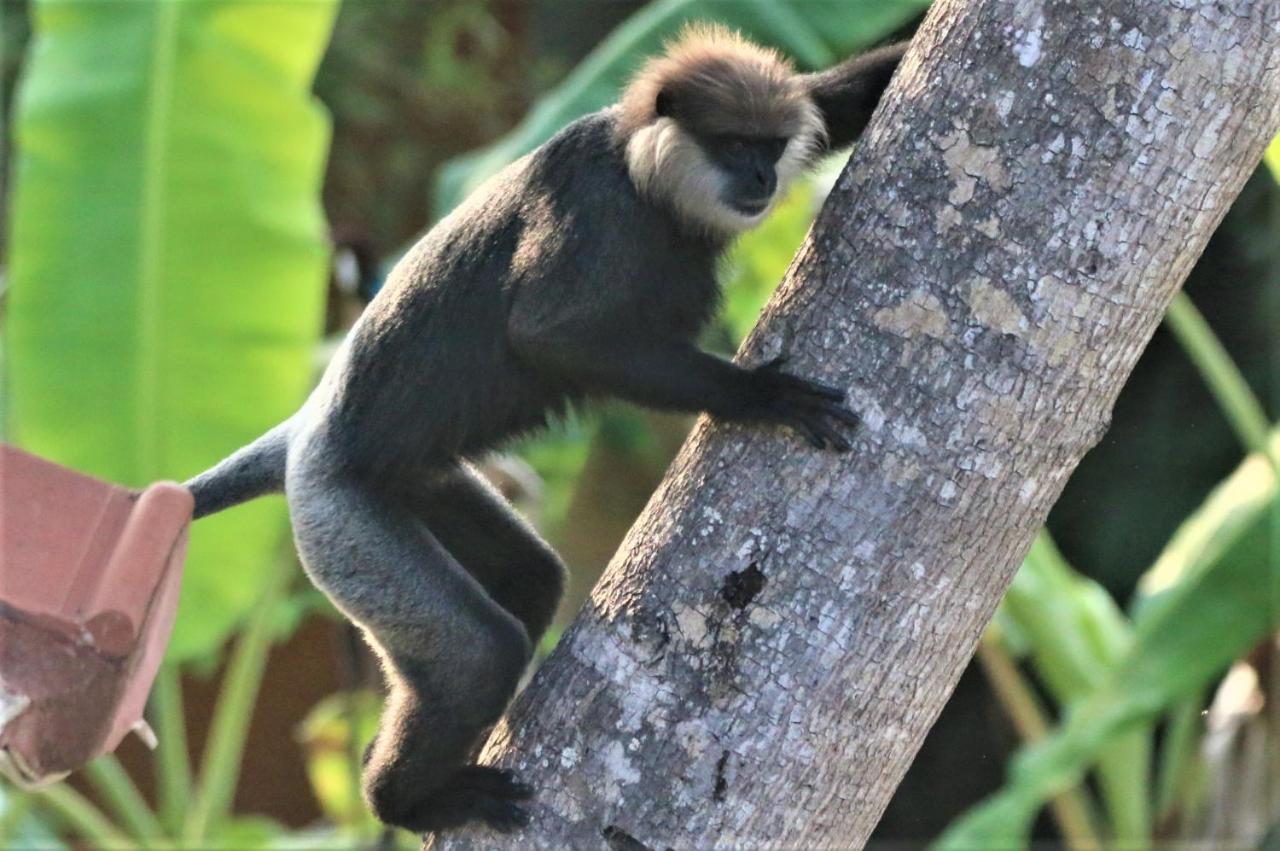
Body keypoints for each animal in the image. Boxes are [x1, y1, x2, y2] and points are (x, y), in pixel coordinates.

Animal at [186, 24, 911, 829]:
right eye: (732, 145)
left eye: (773, 145)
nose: (760, 177)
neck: (642, 171)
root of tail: (308, 430)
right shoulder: (602, 215)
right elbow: (550, 334)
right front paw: (762, 394)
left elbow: (836, 99)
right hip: (339, 516)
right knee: (477, 653)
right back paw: (403, 801)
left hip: (418, 484)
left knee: (528, 581)